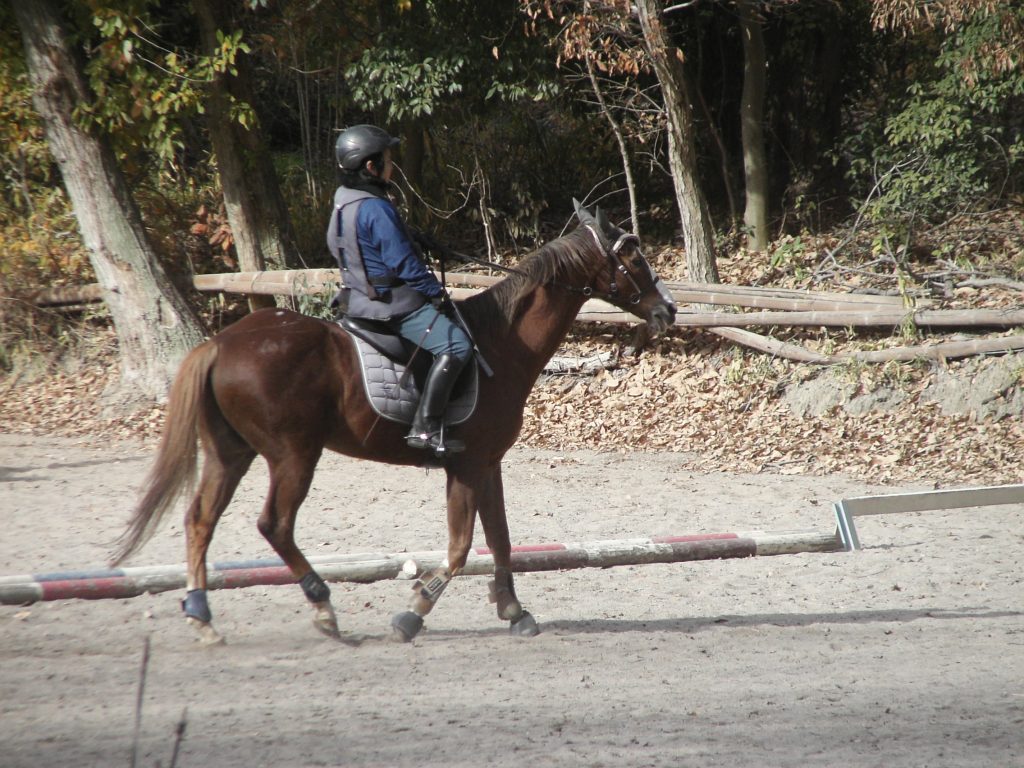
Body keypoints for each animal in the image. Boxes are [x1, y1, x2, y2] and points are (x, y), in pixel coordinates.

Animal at [112, 203, 677, 645]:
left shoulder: (486, 463)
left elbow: (500, 538)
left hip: (231, 453)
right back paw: (322, 607)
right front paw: (413, 612)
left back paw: (202, 616)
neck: (500, 342)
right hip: (293, 455)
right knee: (274, 524)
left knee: (200, 520)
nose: (667, 310)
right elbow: (460, 546)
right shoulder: (466, 466)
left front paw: (514, 611)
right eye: (632, 257)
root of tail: (221, 343)